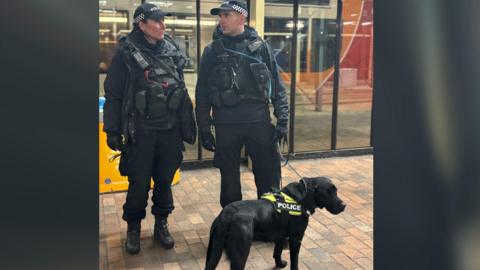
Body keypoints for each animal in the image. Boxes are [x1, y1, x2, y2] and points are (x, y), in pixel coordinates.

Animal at [204, 176, 346, 268]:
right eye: (328, 192)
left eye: (336, 191)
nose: (344, 205)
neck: (301, 198)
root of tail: (226, 214)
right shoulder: (296, 239)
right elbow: (294, 262)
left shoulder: (280, 236)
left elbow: (277, 252)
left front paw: (280, 264)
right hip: (241, 252)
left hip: (213, 250)